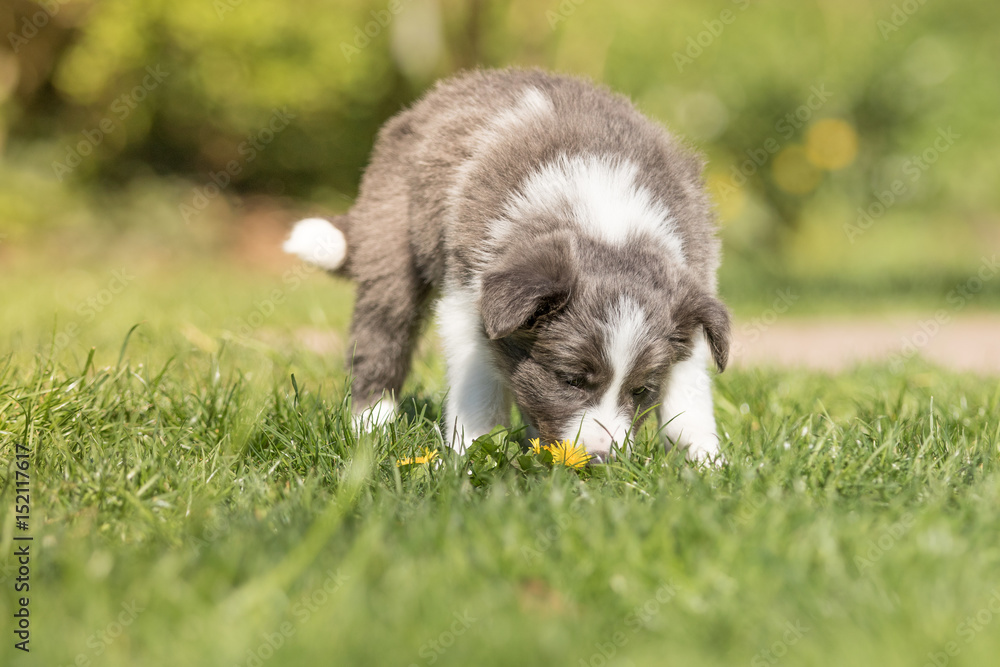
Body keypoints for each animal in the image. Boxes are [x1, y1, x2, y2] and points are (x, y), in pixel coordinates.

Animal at [286, 69, 732, 464]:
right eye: (570, 379)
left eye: (641, 390)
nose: (599, 459)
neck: (607, 223)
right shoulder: (467, 300)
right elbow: (478, 392)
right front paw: (469, 456)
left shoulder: (692, 301)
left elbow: (689, 401)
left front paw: (706, 465)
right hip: (391, 242)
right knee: (380, 339)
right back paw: (370, 428)